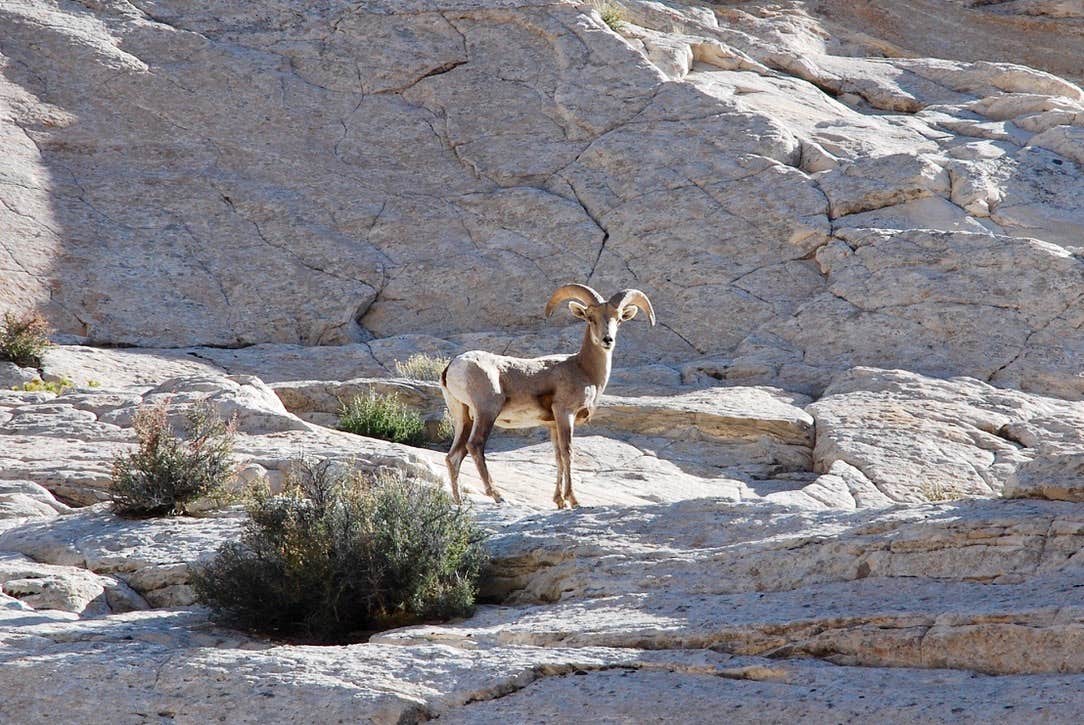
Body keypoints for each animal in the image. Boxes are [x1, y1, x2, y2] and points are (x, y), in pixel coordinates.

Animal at [437, 281, 650, 509]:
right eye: (590, 318)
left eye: (618, 319)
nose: (607, 340)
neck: (584, 369)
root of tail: (453, 366)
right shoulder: (565, 414)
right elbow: (567, 453)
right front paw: (574, 501)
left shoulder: (553, 425)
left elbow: (557, 457)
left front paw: (559, 501)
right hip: (486, 412)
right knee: (475, 445)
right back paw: (498, 496)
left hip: (463, 416)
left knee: (453, 456)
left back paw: (459, 502)